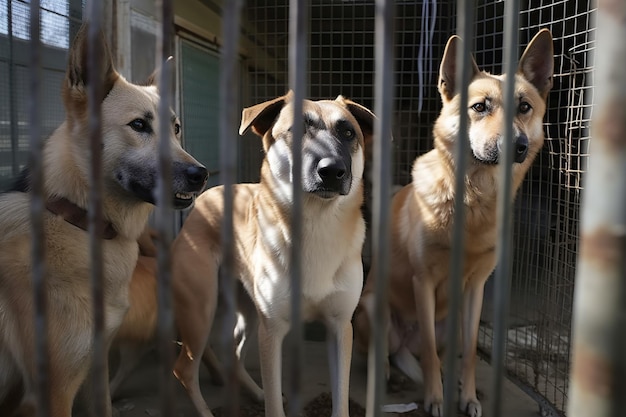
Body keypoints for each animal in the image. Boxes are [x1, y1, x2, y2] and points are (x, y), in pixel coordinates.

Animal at [0, 24, 207, 414]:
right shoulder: (54, 392)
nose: (200, 174)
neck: (77, 219)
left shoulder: (96, 365)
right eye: (138, 125)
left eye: (176, 129)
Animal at [169, 93, 376, 416]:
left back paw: (255, 392)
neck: (316, 226)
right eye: (296, 130)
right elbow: (274, 405)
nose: (332, 170)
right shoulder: (273, 332)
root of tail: (208, 196)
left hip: (248, 313)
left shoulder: (340, 328)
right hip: (201, 312)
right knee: (185, 370)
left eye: (348, 132)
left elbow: (340, 400)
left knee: (233, 354)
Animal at [354, 30, 552, 416]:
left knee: (444, 353)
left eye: (524, 107)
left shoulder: (476, 288)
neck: (473, 202)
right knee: (386, 353)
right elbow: (430, 354)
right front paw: (435, 399)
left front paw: (468, 397)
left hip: (453, 323)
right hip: (373, 308)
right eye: (479, 107)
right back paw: (386, 373)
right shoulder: (423, 282)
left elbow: (471, 352)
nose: (518, 146)